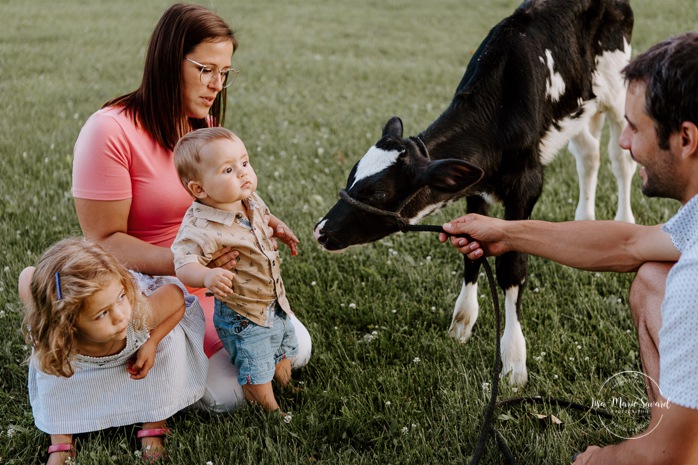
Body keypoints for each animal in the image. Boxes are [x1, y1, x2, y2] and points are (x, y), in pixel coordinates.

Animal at [312, 0, 632, 384]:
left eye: (376, 193)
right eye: (351, 176)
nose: (320, 230)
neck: (499, 107)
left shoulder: (527, 184)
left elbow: (512, 267)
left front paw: (513, 359)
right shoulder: (475, 187)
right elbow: (472, 254)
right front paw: (462, 322)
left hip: (617, 90)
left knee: (620, 158)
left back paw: (623, 221)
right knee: (587, 154)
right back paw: (585, 221)